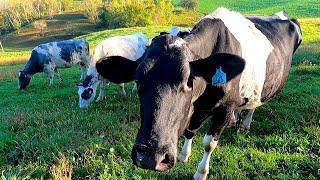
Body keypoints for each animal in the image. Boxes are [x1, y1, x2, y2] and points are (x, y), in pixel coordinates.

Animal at [100, 7, 302, 180]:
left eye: (187, 81)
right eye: (138, 81)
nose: (150, 157)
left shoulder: (225, 108)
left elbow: (209, 143)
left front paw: (201, 172)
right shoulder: (196, 108)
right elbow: (190, 130)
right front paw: (184, 154)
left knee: (255, 104)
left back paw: (245, 123)